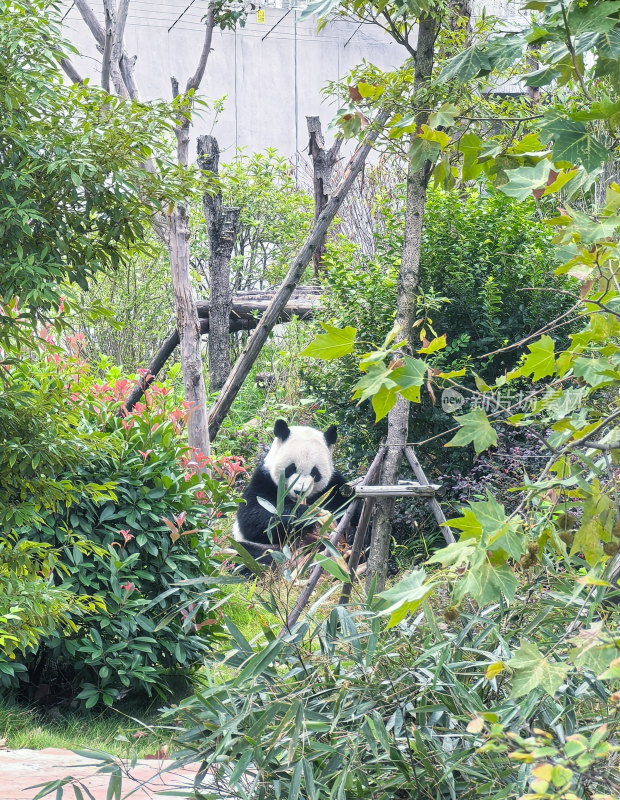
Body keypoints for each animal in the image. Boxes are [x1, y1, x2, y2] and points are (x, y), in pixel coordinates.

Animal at [230, 418, 352, 564]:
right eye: (291, 468)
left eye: (315, 472)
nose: (300, 491)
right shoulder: (264, 480)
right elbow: (253, 517)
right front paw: (305, 514)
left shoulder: (333, 486)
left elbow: (350, 509)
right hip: (265, 549)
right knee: (242, 554)